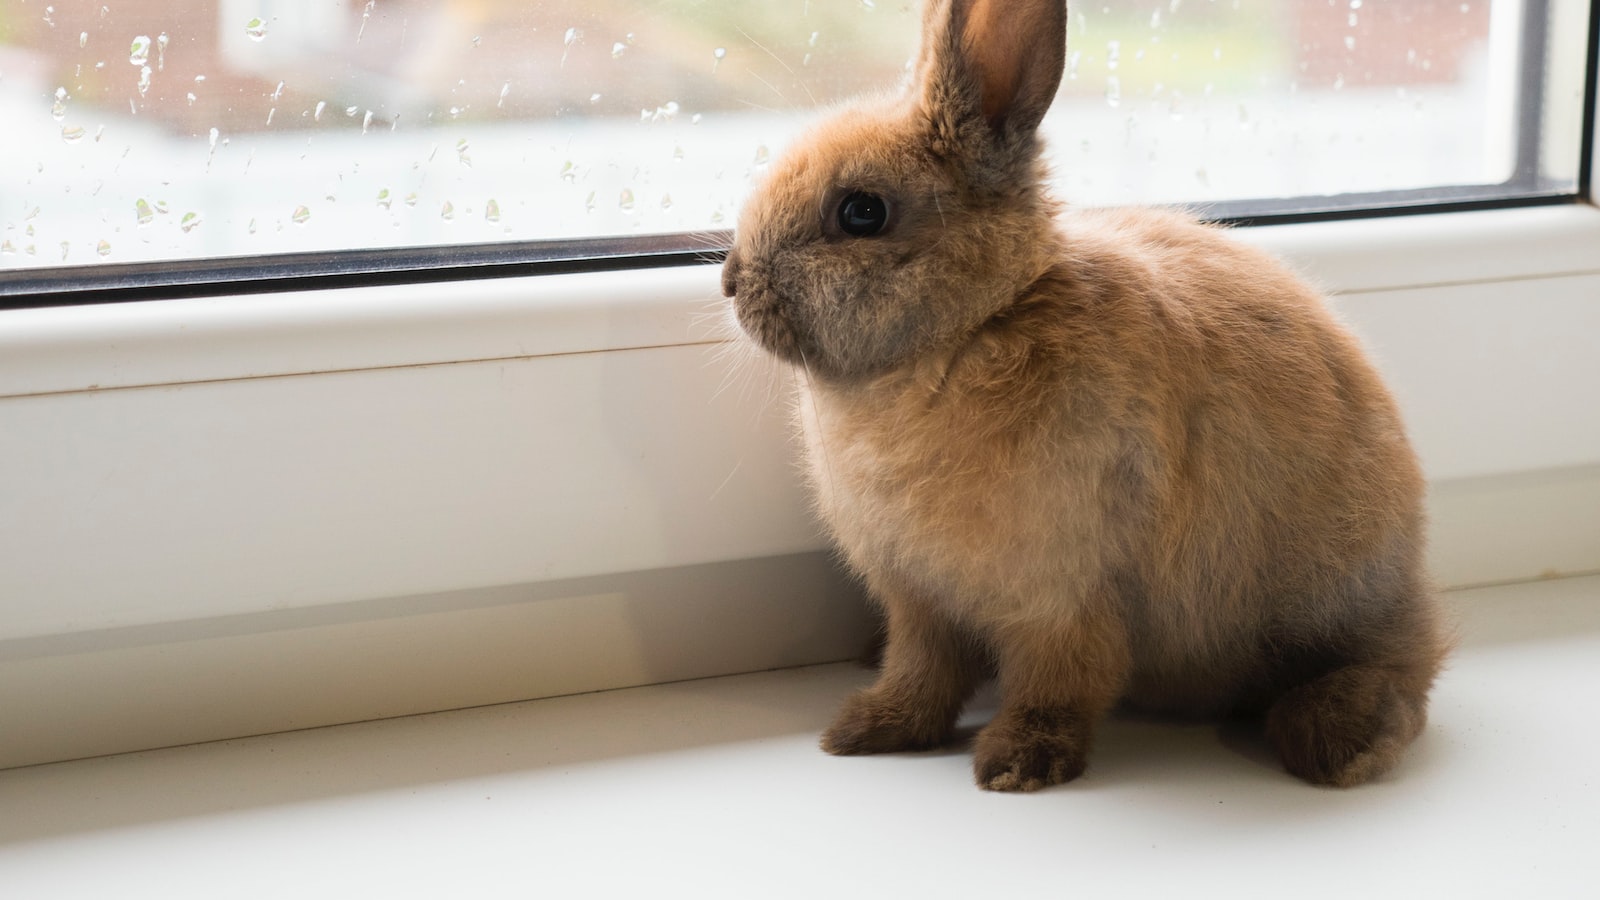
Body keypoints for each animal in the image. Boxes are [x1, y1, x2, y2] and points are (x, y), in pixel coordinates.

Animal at [720, 0, 1446, 784]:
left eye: (861, 213)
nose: (730, 281)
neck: (972, 327)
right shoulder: (919, 600)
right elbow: (921, 672)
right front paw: (866, 730)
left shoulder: (1063, 597)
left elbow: (1060, 681)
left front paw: (1017, 764)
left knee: (1402, 675)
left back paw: (1335, 742)